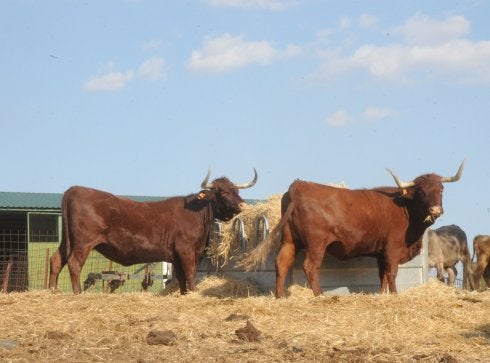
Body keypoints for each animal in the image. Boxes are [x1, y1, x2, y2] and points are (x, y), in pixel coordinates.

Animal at [48, 168, 256, 296]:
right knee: (74, 263)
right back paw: (77, 293)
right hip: (83, 242)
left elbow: (181, 279)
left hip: (67, 241)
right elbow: (190, 274)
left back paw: (53, 290)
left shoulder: (176, 256)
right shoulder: (186, 250)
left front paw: (184, 294)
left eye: (236, 190)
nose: (243, 205)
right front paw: (194, 293)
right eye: (222, 192)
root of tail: (74, 189)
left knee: (56, 260)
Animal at [241, 163, 464, 298]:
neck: (405, 207)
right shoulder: (392, 248)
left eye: (441, 189)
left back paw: (280, 296)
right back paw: (319, 295)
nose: (435, 209)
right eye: (421, 192)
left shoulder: (380, 252)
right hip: (316, 243)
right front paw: (394, 295)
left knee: (282, 263)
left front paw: (382, 294)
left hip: (289, 240)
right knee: (310, 266)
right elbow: (391, 273)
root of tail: (299, 185)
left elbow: (382, 275)